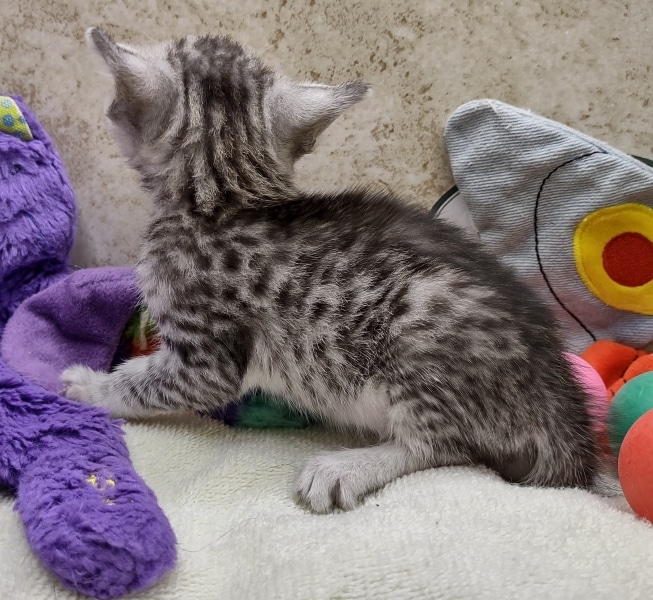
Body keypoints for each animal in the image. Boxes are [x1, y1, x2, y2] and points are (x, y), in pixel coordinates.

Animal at [63, 27, 598, 513]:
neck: (222, 196)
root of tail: (560, 402)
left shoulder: (202, 355)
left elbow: (148, 385)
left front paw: (90, 386)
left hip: (419, 328)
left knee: (447, 449)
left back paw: (349, 467)